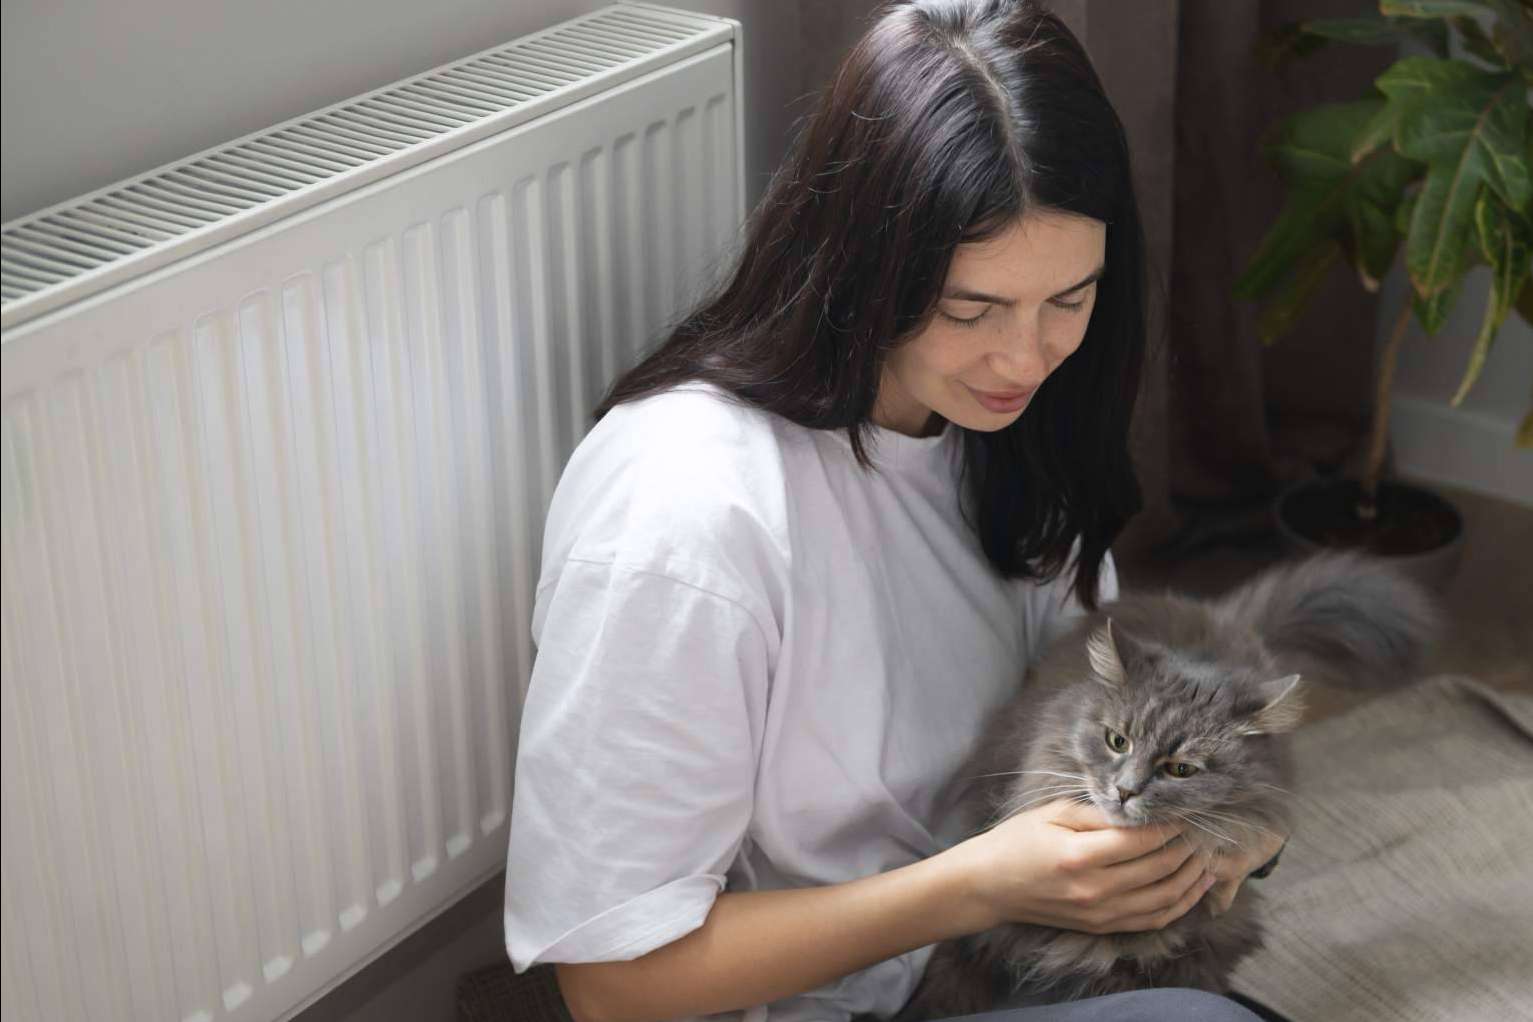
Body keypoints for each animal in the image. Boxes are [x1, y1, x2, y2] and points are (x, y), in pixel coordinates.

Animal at [897, 551, 1439, 1019]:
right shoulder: (983, 931)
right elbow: (944, 985)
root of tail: (1219, 614)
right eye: (1117, 741)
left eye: (1181, 770)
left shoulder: (1204, 946)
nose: (1124, 791)